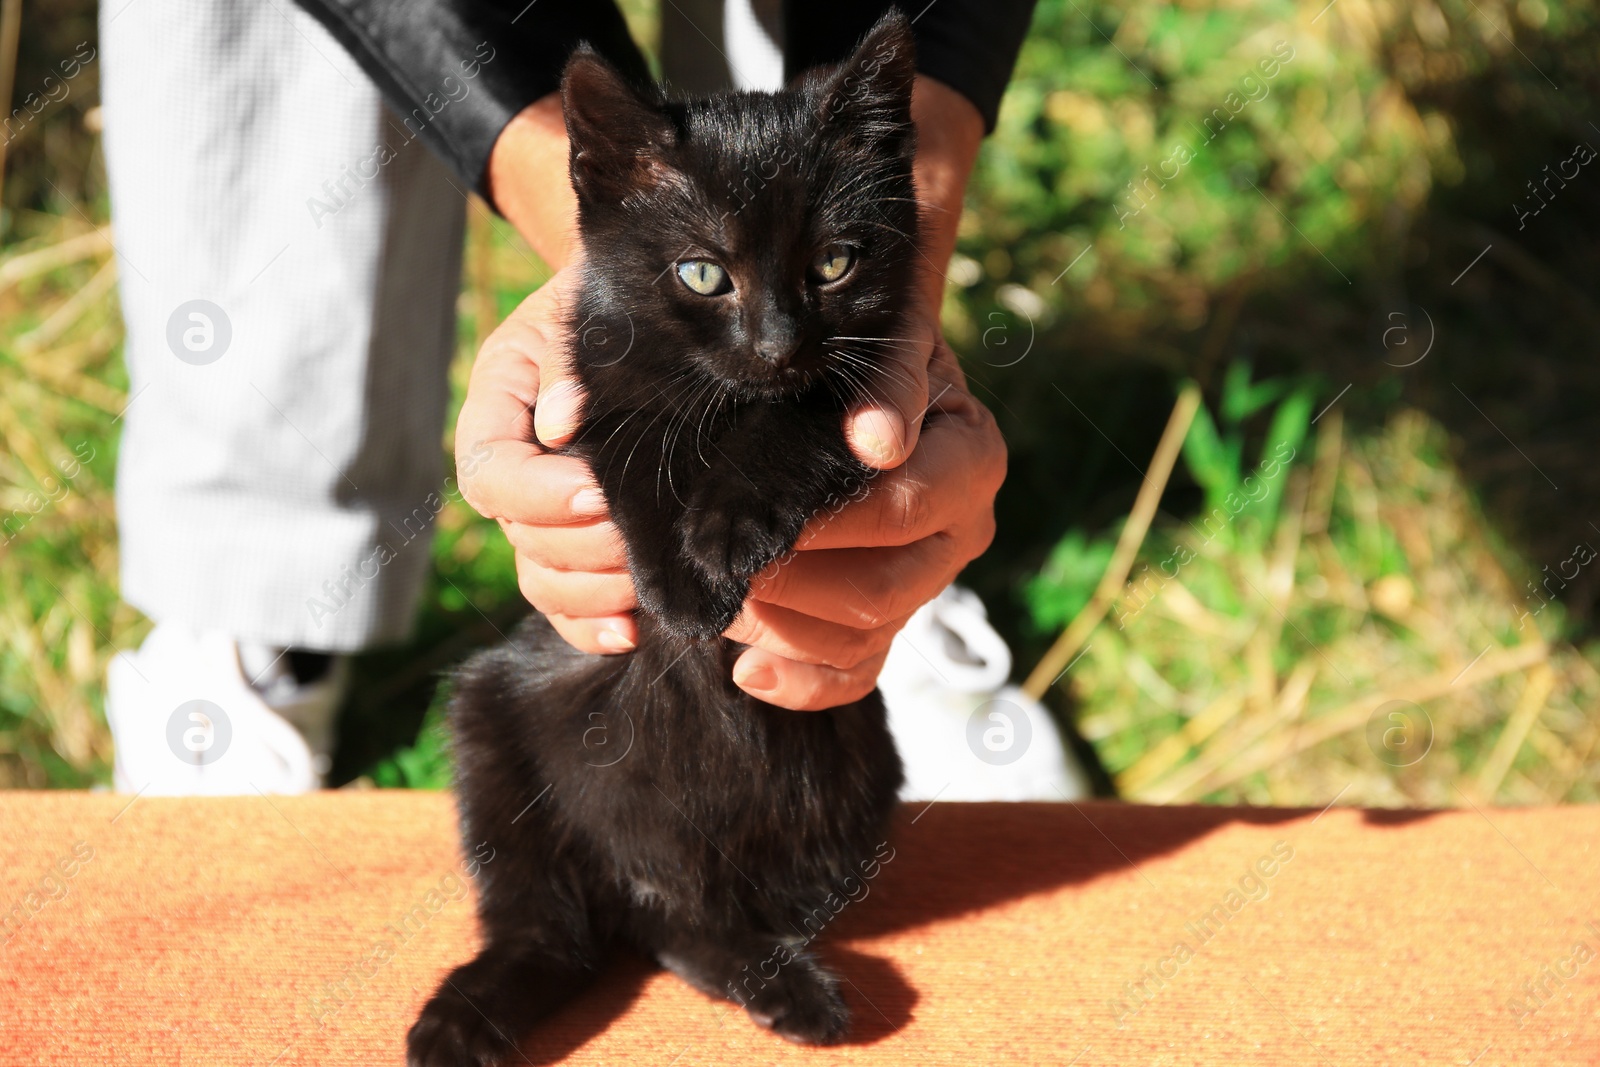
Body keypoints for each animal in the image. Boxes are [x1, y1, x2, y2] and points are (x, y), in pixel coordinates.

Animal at [406, 16, 921, 1067]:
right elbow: (633, 450)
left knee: (684, 924)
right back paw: (463, 1016)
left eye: (834, 264)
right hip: (487, 726)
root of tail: (635, 874)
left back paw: (790, 990)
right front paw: (677, 590)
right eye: (702, 273)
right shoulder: (591, 386)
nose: (776, 345)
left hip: (851, 780)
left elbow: (798, 421)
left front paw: (720, 535)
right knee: (552, 926)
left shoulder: (869, 395)